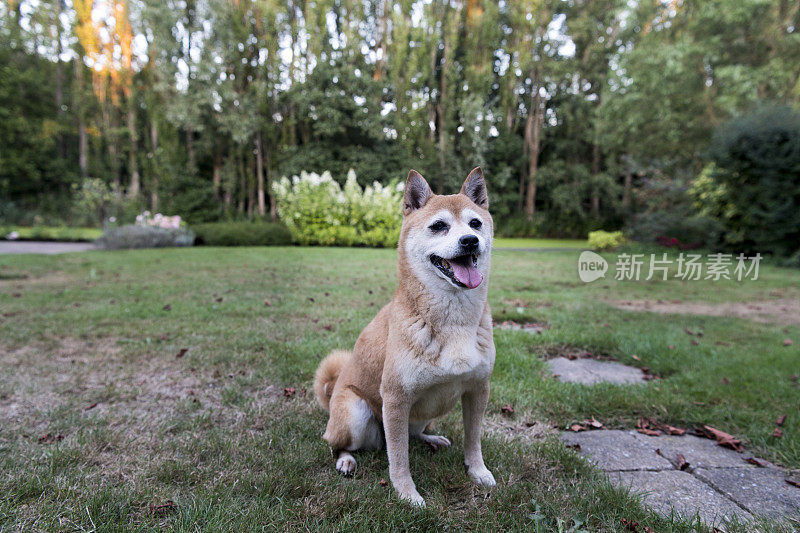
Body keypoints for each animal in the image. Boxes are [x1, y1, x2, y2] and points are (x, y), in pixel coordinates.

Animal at [314, 167, 494, 508]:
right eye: (439, 226)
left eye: (475, 223)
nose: (470, 240)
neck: (453, 321)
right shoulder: (396, 398)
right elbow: (398, 457)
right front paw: (407, 494)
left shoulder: (478, 389)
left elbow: (473, 440)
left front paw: (477, 471)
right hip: (356, 414)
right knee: (336, 444)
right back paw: (345, 460)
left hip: (421, 415)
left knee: (414, 434)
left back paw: (432, 438)